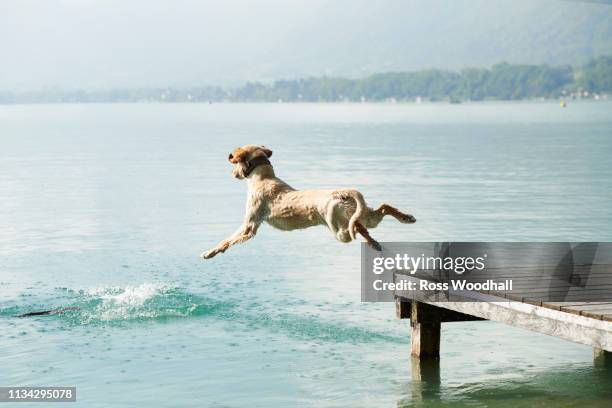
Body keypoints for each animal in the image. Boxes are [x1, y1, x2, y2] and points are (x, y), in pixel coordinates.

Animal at [201, 145, 416, 260]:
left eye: (235, 164)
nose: (232, 174)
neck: (263, 177)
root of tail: (343, 193)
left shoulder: (249, 226)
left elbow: (227, 240)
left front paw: (210, 252)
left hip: (339, 227)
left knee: (356, 228)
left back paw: (373, 239)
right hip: (362, 214)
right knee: (380, 210)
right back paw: (405, 219)